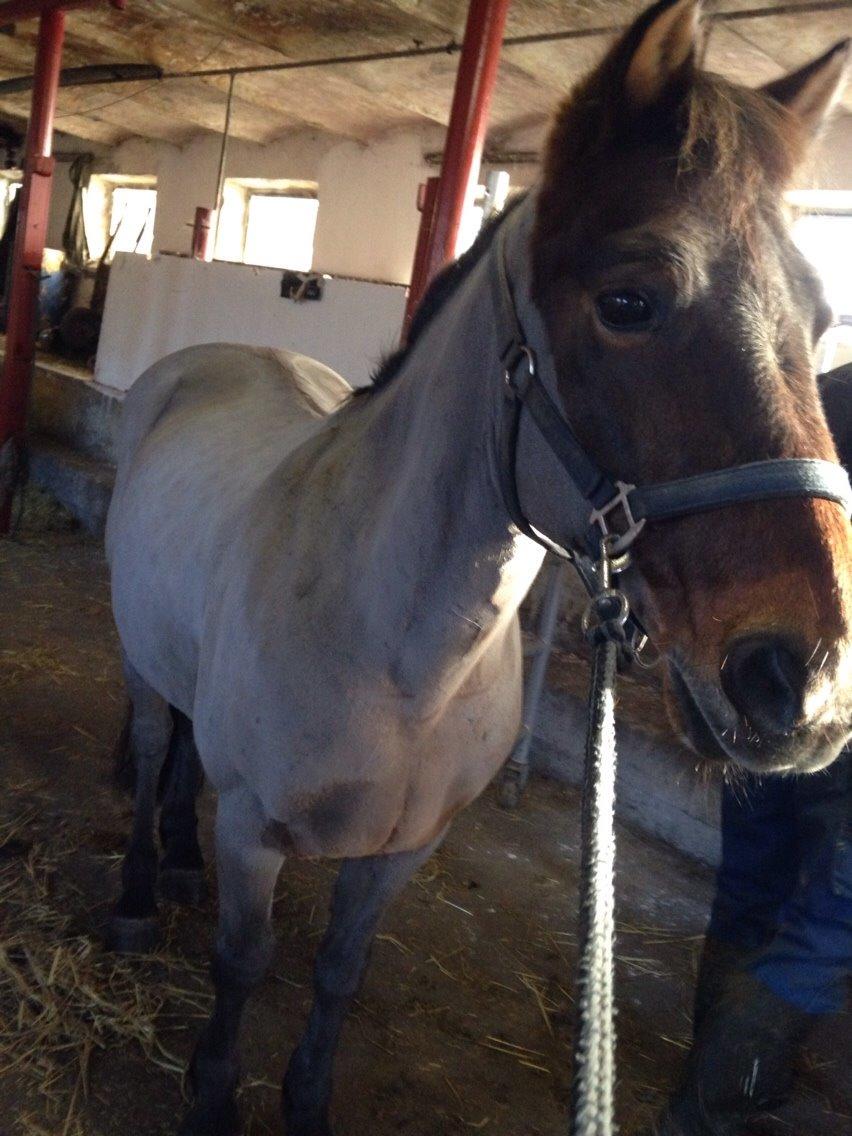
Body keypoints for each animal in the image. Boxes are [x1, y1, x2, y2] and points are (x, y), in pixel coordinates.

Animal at [104, 3, 852, 1133]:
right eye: (629, 300)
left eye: (821, 319)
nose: (802, 683)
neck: (403, 663)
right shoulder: (254, 832)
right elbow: (242, 965)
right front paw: (211, 1096)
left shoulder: (404, 851)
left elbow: (338, 973)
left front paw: (308, 1101)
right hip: (143, 665)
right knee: (157, 745)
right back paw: (146, 891)